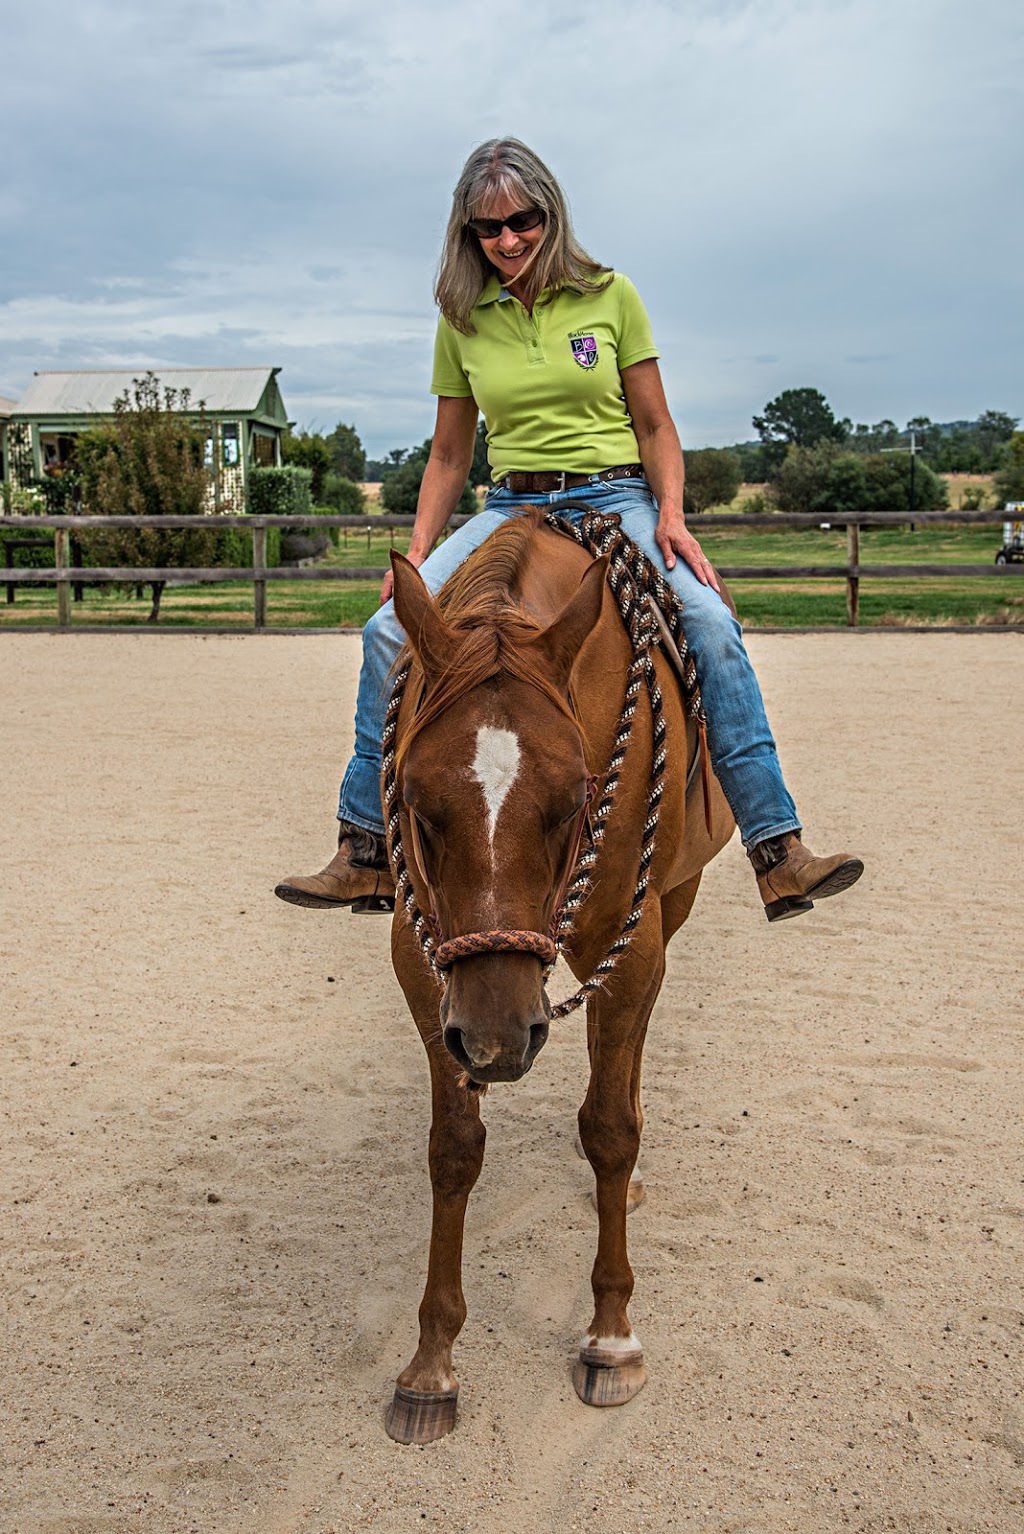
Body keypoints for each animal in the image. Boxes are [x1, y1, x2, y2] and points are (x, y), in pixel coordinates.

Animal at [381, 509, 726, 1441]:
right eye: (418, 805)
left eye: (574, 800)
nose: (499, 1039)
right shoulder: (422, 962)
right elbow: (453, 1148)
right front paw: (431, 1365)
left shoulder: (635, 945)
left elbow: (608, 1127)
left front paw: (610, 1338)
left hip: (665, 913)